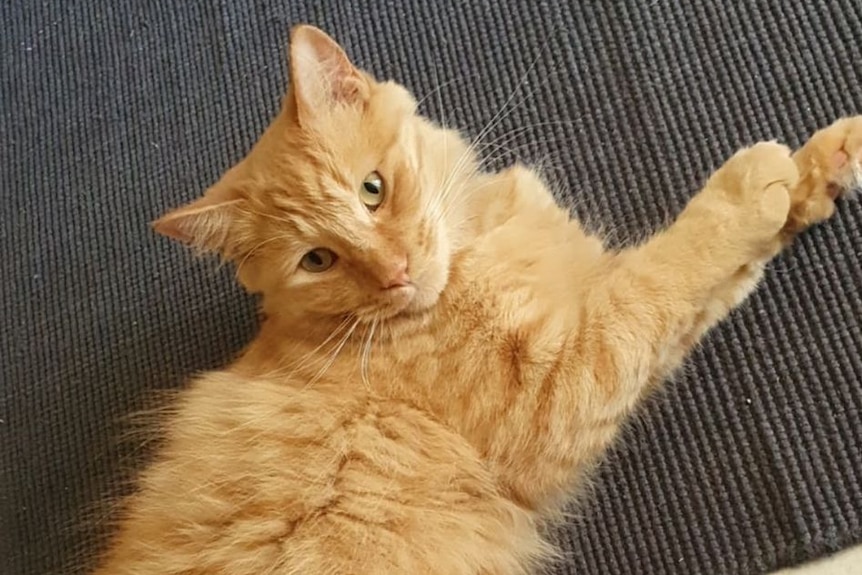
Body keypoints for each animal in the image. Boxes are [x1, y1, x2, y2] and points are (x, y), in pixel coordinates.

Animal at [96, 23, 862, 575]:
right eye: (318, 259)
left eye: (372, 189)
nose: (396, 272)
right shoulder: (568, 379)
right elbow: (672, 266)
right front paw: (753, 183)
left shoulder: (594, 293)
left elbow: (714, 272)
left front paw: (824, 163)